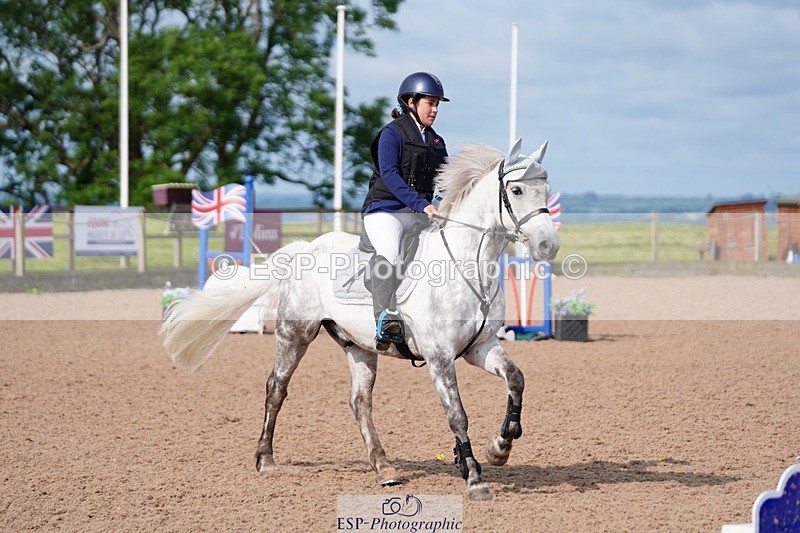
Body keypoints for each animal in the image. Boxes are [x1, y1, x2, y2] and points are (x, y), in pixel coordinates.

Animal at [159, 138, 560, 501]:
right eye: (517, 189)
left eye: (546, 189)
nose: (548, 246)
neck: (467, 265)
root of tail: (305, 247)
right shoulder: (440, 357)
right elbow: (457, 414)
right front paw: (475, 477)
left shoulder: (481, 347)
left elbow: (516, 379)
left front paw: (500, 446)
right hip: (295, 334)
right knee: (276, 388)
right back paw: (266, 461)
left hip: (359, 345)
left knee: (359, 402)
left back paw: (384, 468)